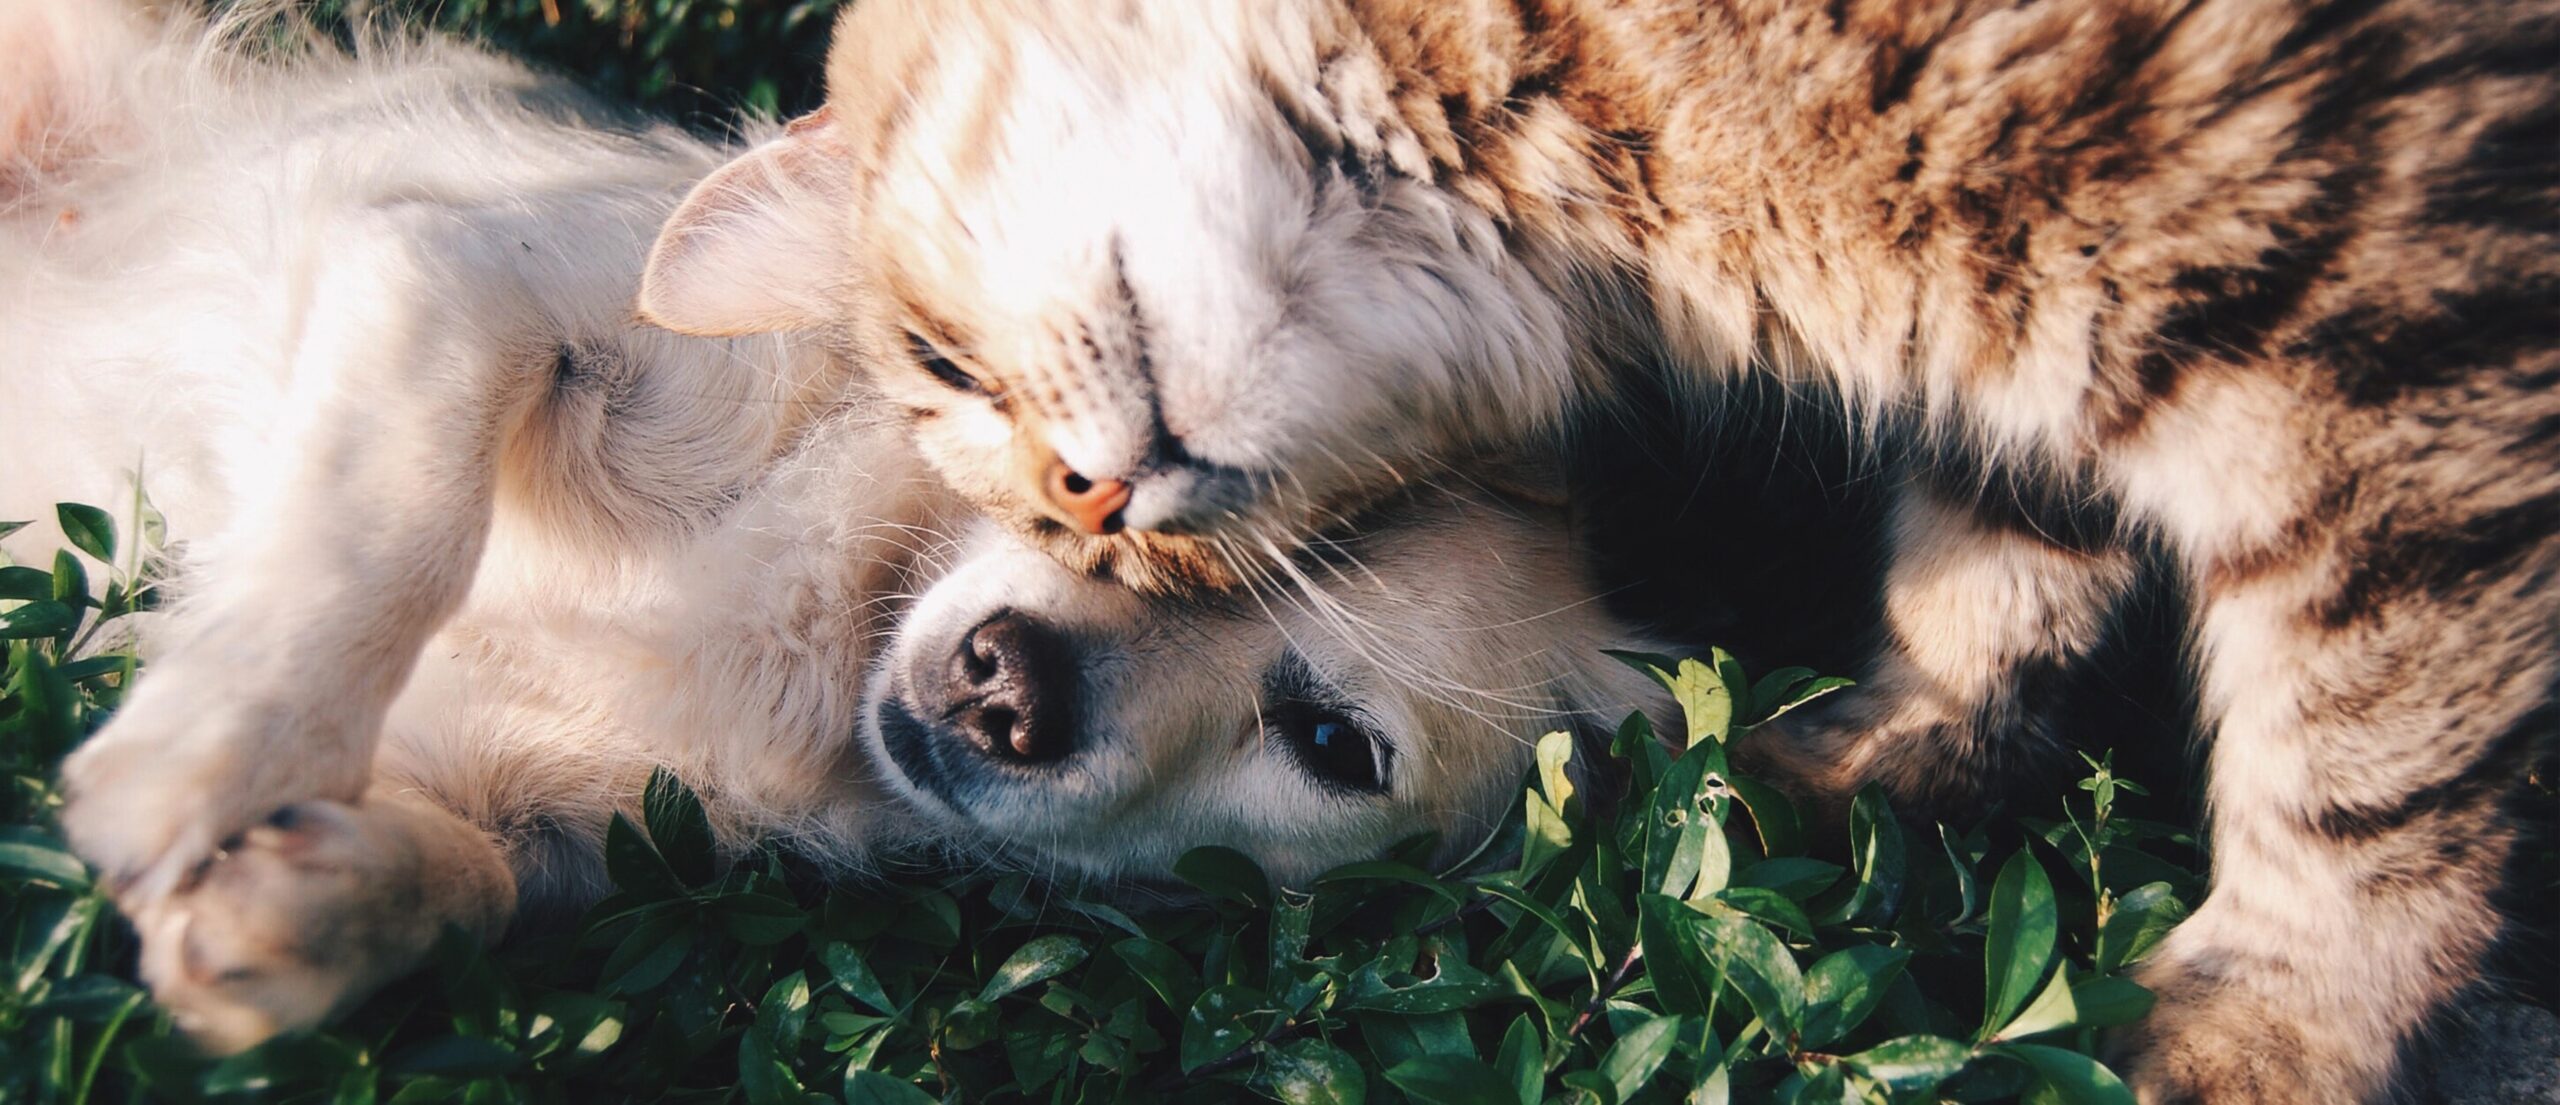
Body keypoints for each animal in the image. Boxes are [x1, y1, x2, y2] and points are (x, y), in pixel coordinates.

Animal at [0, 0, 1679, 1053]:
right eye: (1079, 497)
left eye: (1333, 745)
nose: (1010, 686)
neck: (841, 616)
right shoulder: (458, 273)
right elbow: (390, 522)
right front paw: (208, 753)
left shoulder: (558, 822)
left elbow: (472, 883)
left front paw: (303, 908)